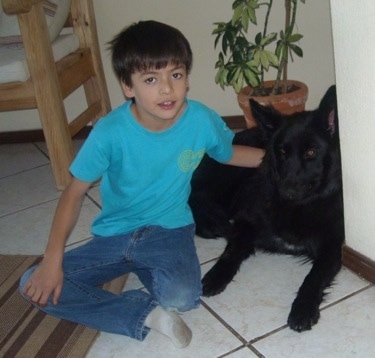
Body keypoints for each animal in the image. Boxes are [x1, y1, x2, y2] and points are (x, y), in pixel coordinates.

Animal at [189, 85, 346, 332]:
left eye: (311, 152)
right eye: (282, 152)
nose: (286, 191)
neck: (298, 207)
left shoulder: (331, 247)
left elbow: (313, 277)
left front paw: (303, 308)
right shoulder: (245, 222)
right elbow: (231, 251)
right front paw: (216, 275)